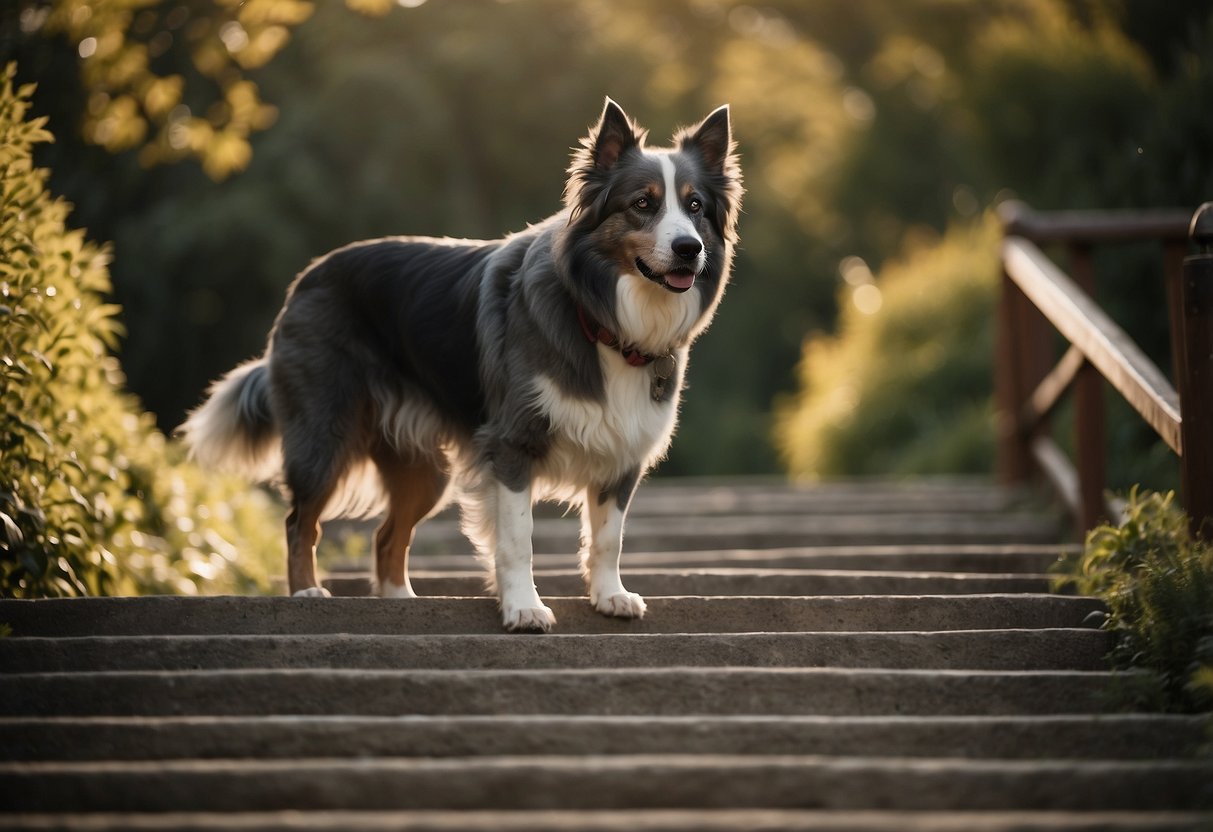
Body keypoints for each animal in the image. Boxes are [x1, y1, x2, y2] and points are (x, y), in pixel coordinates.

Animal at [181, 97, 737, 630]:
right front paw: (523, 608)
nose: (689, 248)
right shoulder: (511, 444)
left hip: (425, 469)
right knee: (301, 521)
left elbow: (608, 537)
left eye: (695, 206)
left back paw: (400, 600)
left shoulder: (623, 453)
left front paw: (609, 596)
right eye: (642, 204)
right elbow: (518, 537)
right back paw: (306, 593)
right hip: (325, 432)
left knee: (387, 535)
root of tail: (307, 277)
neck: (601, 317)